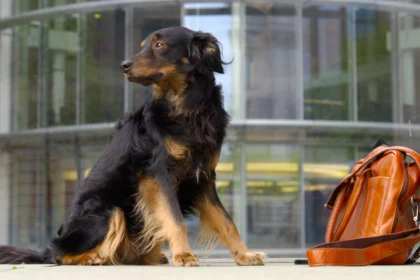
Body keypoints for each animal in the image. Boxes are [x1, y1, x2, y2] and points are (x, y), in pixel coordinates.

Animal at [0, 26, 264, 266]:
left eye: (159, 45)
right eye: (143, 46)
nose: (123, 65)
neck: (187, 107)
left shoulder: (204, 178)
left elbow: (227, 222)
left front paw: (244, 255)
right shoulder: (158, 175)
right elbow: (175, 219)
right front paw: (184, 255)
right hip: (107, 210)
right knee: (58, 252)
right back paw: (90, 258)